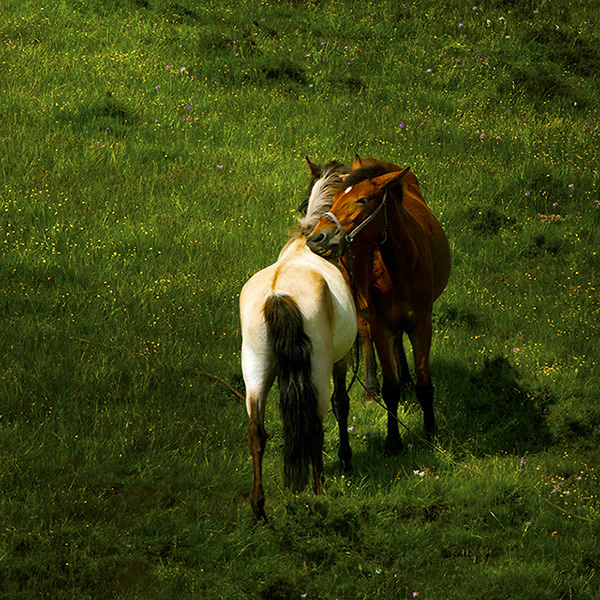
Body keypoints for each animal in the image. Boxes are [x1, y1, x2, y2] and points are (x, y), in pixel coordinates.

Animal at [241, 164, 358, 520]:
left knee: (256, 430)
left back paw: (259, 508)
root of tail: (278, 294)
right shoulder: (340, 361)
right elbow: (342, 404)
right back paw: (319, 492)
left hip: (255, 370)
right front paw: (346, 460)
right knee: (315, 424)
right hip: (317, 370)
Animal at [310, 156, 450, 454]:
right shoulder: (381, 325)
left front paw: (430, 434)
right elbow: (390, 388)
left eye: (362, 200)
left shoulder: (422, 324)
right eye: (336, 198)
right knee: (365, 336)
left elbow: (425, 385)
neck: (402, 267)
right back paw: (370, 389)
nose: (318, 237)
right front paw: (393, 441)